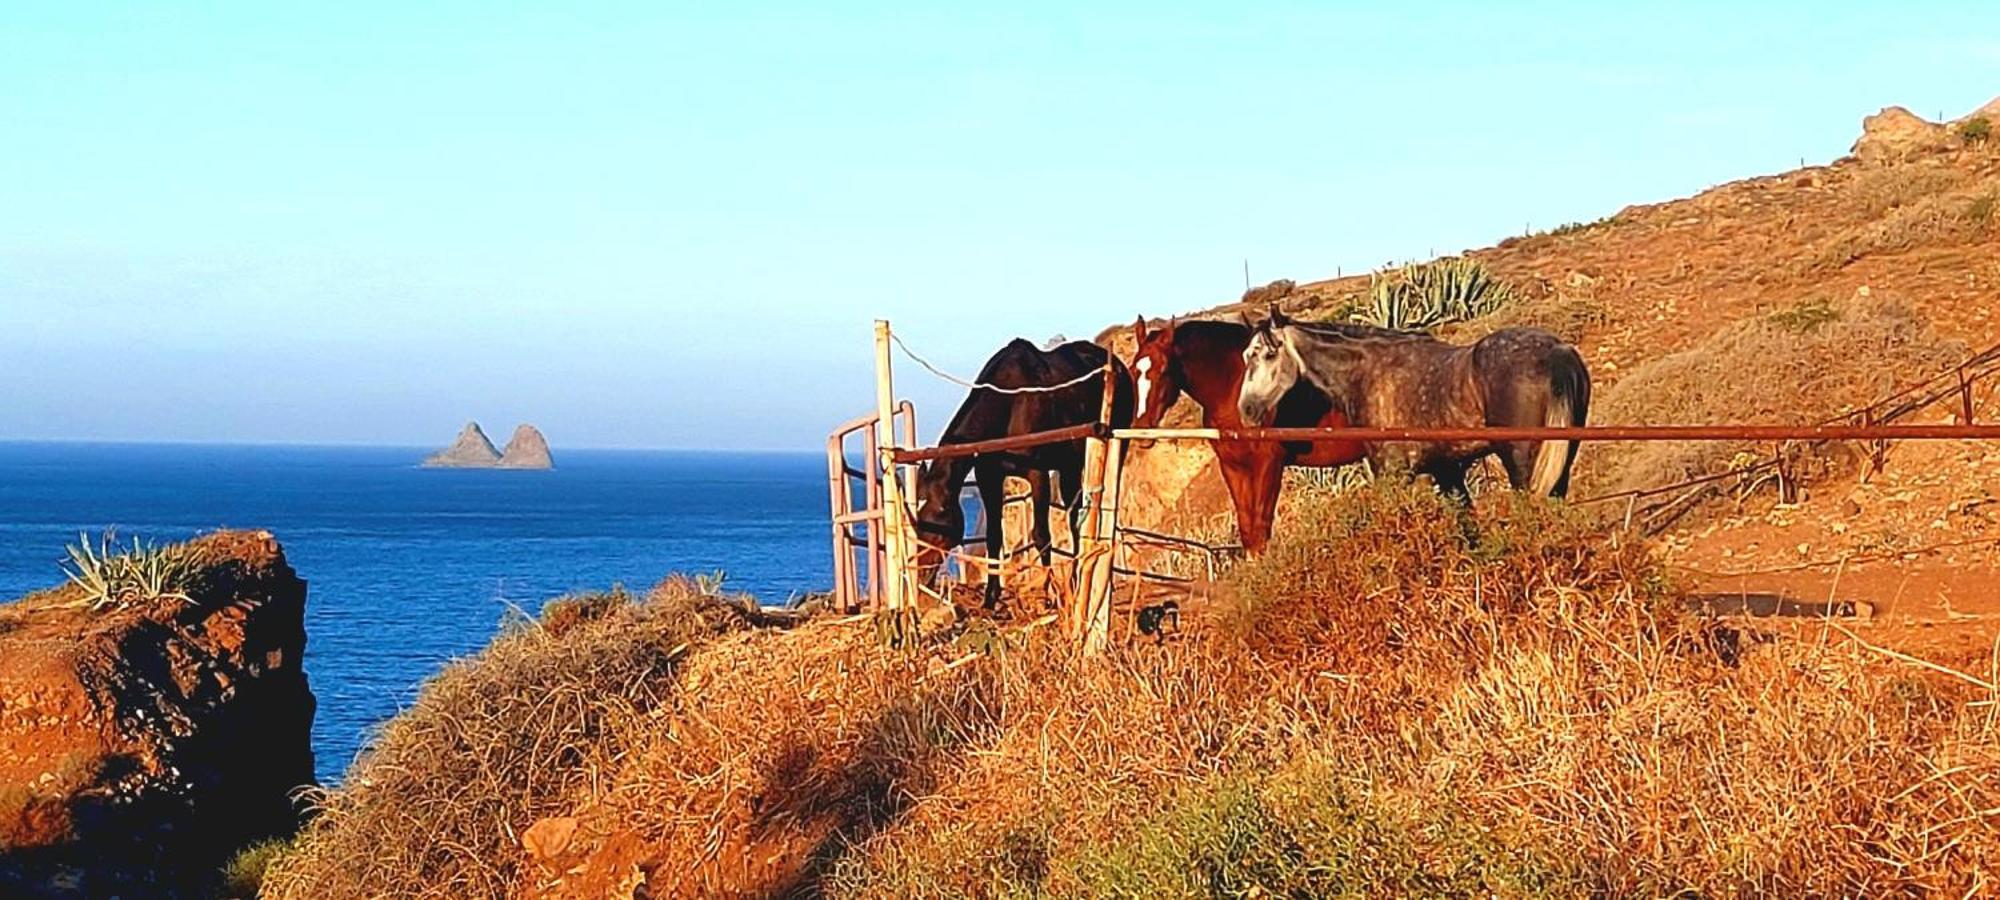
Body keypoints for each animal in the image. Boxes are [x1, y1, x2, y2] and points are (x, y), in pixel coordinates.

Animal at [1136, 316, 1368, 556]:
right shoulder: (1233, 467)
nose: (1142, 430)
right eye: (1134, 370)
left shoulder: (1268, 463)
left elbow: (1260, 526)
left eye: (1164, 369)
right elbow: (1248, 529)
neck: (1232, 391)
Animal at [1232, 312, 1592, 500]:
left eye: (1269, 354)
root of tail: (1557, 351)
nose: (1246, 410)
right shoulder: (1447, 472)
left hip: (1522, 464)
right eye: (1246, 355)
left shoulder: (1393, 473)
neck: (1369, 371)